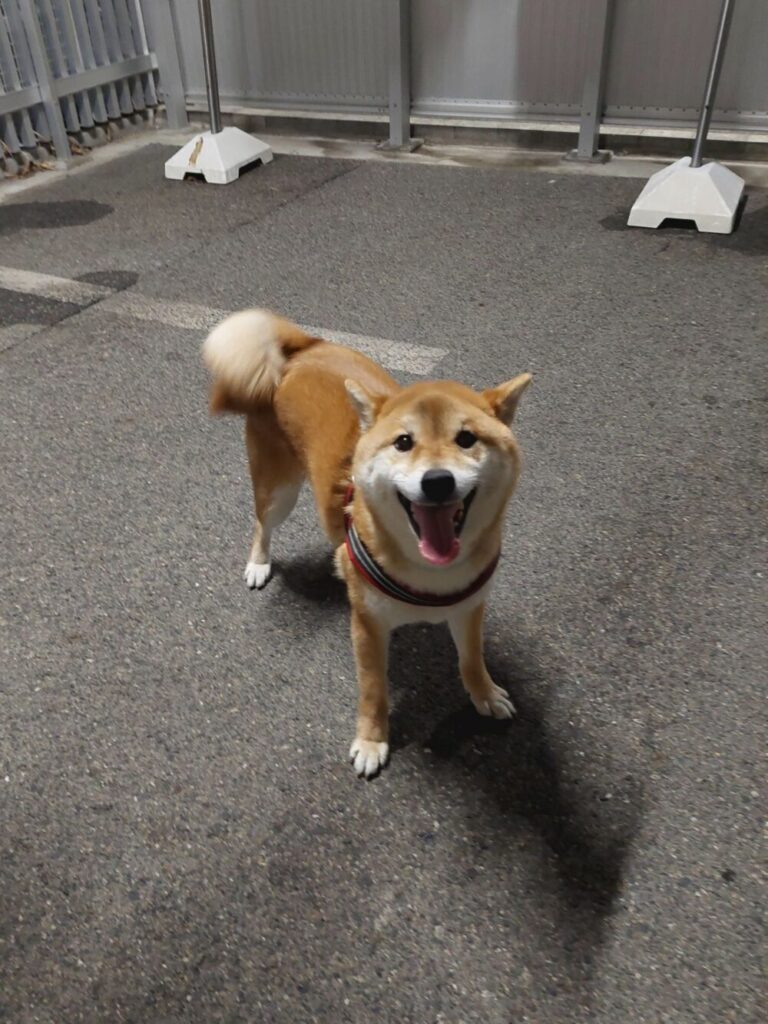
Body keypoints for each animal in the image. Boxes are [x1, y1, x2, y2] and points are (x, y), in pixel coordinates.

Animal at [203, 310, 531, 777]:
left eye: (466, 439)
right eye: (404, 442)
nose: (437, 480)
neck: (430, 574)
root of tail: (305, 351)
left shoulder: (469, 607)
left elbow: (471, 658)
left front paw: (484, 694)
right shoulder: (368, 626)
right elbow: (374, 692)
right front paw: (373, 741)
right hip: (279, 491)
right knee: (261, 525)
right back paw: (259, 563)